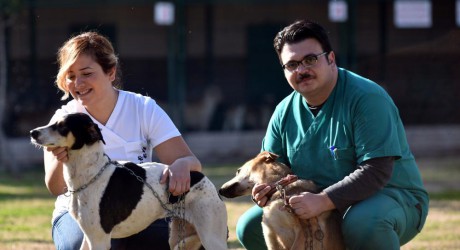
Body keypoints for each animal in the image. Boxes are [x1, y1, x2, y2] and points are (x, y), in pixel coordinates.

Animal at [30, 113, 228, 250]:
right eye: (53, 121)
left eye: (62, 126)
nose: (32, 132)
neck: (91, 174)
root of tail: (204, 179)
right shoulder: (88, 237)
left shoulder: (99, 239)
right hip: (180, 239)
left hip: (211, 237)